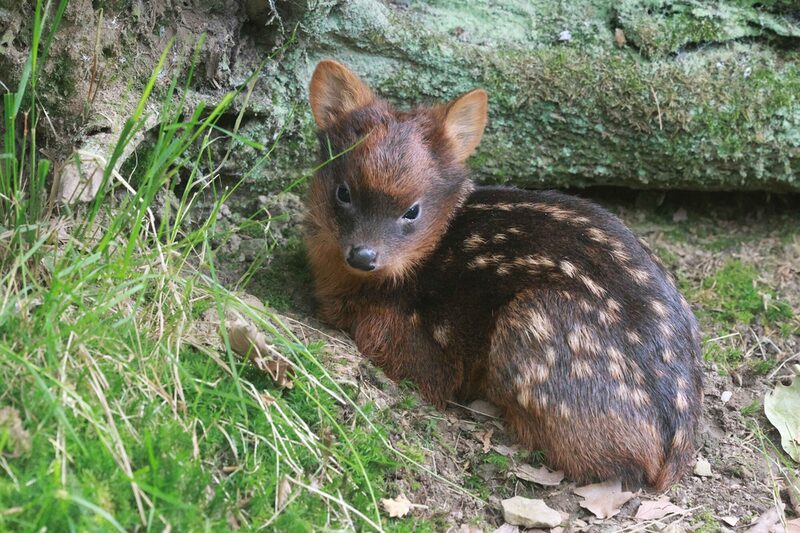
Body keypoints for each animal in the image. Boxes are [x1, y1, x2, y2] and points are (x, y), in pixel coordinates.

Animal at [304, 60, 704, 488]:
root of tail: (672, 455)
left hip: (537, 325)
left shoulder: (422, 348)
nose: (363, 255)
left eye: (412, 210)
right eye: (343, 192)